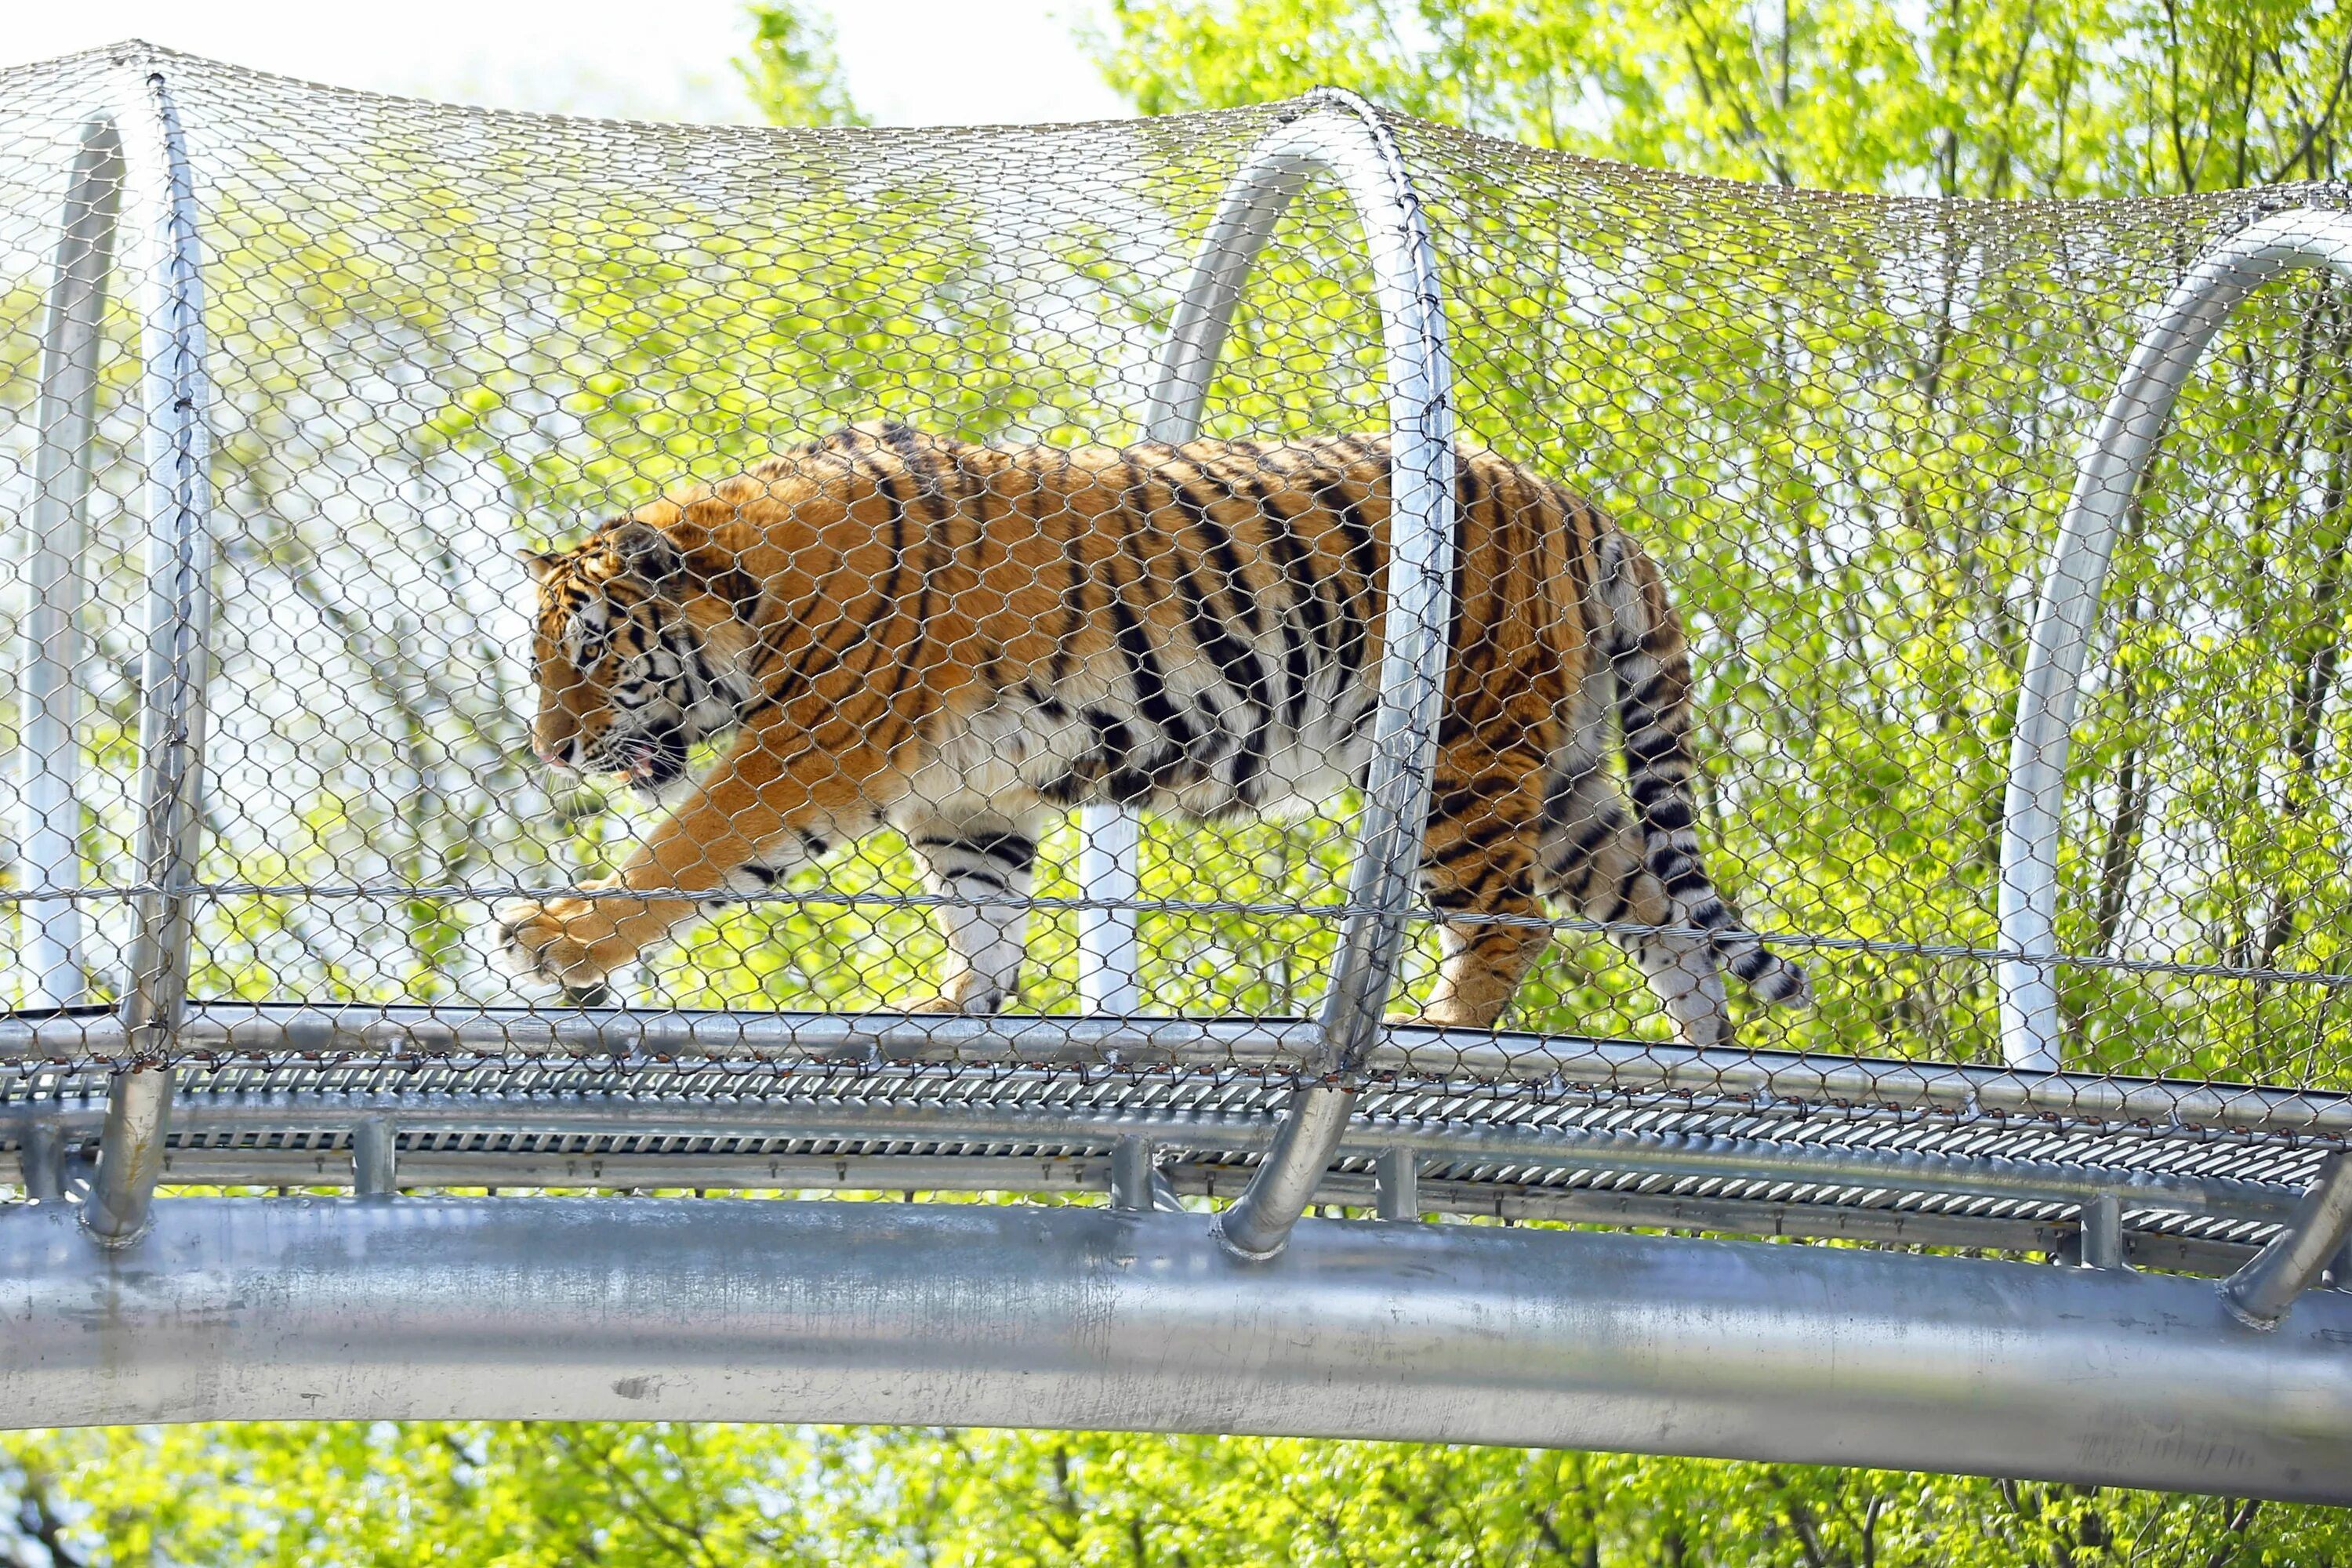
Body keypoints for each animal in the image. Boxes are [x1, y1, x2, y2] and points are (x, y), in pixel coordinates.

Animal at [501, 423, 1797, 1048]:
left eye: (591, 657)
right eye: (546, 665)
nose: (551, 750)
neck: (761, 591)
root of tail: (1585, 510)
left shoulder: (808, 747)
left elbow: (682, 855)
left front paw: (553, 939)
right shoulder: (966, 795)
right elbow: (984, 914)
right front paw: (953, 1004)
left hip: (1463, 755)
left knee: (1510, 916)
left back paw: (1436, 1026)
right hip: (1563, 771)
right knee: (1653, 906)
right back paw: (1707, 1049)